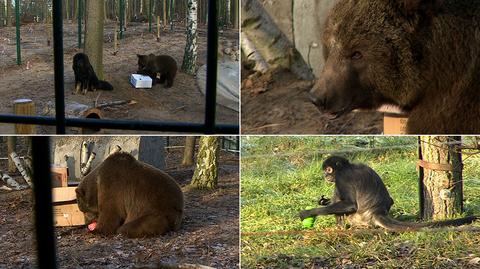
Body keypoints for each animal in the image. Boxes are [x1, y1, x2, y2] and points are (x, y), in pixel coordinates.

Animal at [300, 155, 476, 230]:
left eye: (329, 170)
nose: (326, 176)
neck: (347, 167)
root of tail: (376, 212)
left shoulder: (342, 177)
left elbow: (350, 205)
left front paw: (308, 212)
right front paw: (323, 202)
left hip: (357, 217)